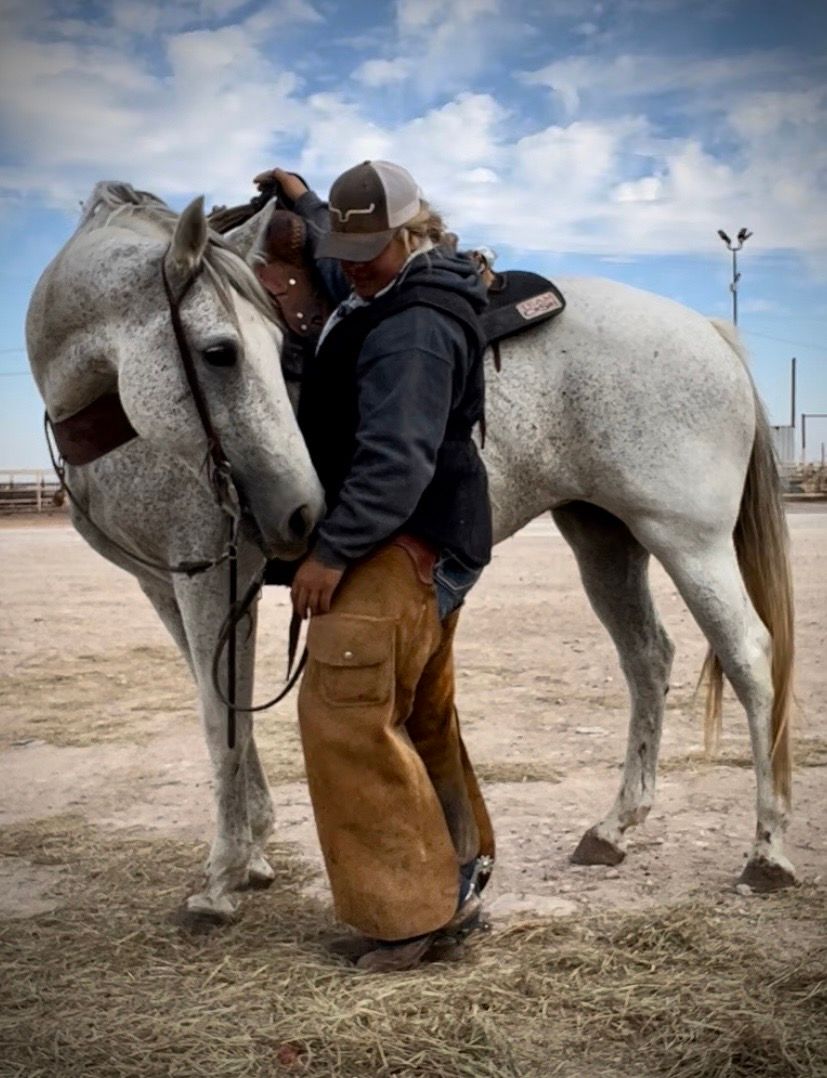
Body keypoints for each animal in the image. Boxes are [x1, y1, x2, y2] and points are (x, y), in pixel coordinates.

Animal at [26, 182, 795, 927]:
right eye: (221, 352)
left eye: (262, 348)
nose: (301, 512)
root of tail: (707, 331)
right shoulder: (167, 584)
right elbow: (223, 706)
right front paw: (253, 855)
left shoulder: (215, 581)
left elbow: (222, 722)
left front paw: (221, 880)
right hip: (605, 538)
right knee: (646, 659)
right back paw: (613, 828)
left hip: (687, 541)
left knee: (749, 657)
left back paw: (767, 850)